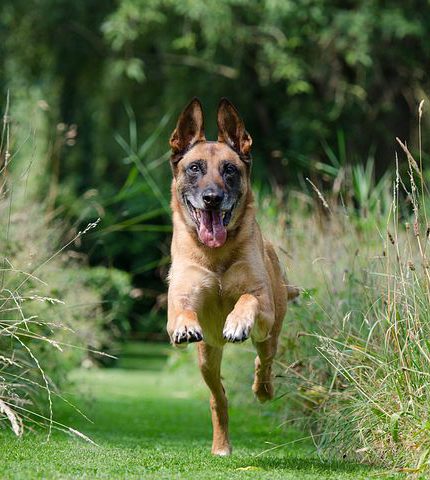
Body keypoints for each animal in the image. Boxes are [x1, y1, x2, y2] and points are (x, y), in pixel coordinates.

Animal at [166, 98, 298, 458]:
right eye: (195, 168)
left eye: (229, 170)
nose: (212, 197)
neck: (217, 255)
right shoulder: (182, 296)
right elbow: (181, 310)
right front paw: (185, 325)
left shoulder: (262, 303)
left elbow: (248, 298)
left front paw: (237, 322)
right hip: (207, 357)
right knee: (219, 397)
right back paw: (221, 444)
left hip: (270, 333)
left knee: (263, 363)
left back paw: (263, 389)